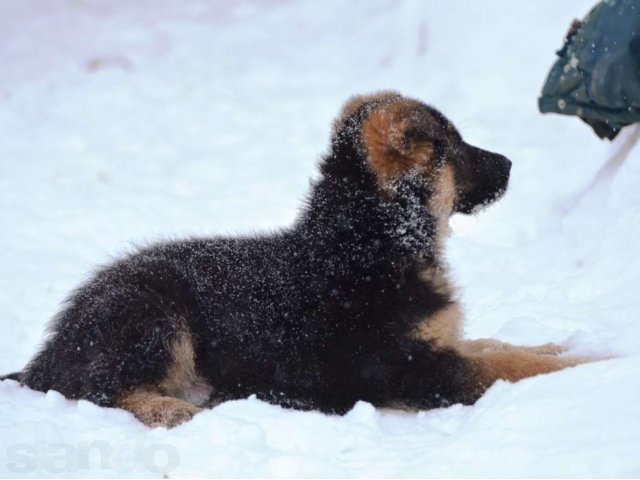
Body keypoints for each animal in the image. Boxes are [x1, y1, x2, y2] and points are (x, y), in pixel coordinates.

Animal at [8, 92, 592, 426]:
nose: (511, 164)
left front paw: (561, 345)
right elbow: (504, 366)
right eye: (453, 148)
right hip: (154, 314)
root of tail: (49, 354)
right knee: (101, 390)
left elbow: (499, 345)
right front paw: (588, 365)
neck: (368, 241)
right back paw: (171, 409)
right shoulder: (415, 370)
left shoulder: (438, 343)